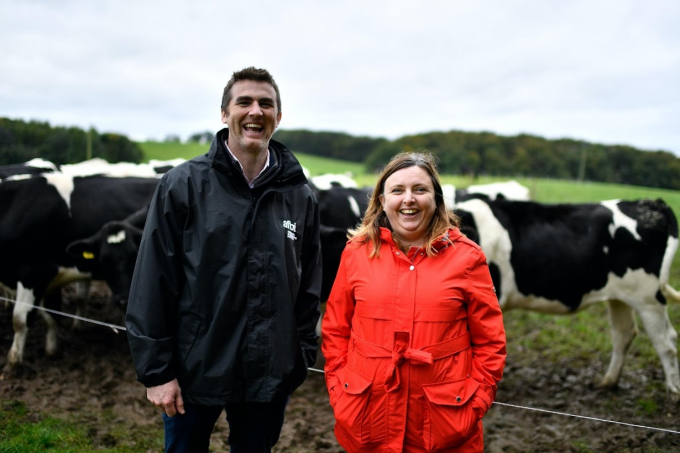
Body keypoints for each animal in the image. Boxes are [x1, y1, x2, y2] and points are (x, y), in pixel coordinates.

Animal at [0, 171, 159, 372]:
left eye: (134, 256)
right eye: (103, 260)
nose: (123, 299)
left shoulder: (34, 272)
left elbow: (20, 319)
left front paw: (13, 363)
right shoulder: (49, 280)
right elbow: (50, 315)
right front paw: (51, 350)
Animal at [454, 196, 680, 394]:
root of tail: (648, 202)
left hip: (648, 297)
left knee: (666, 342)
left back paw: (673, 391)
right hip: (621, 296)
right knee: (625, 333)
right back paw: (608, 383)